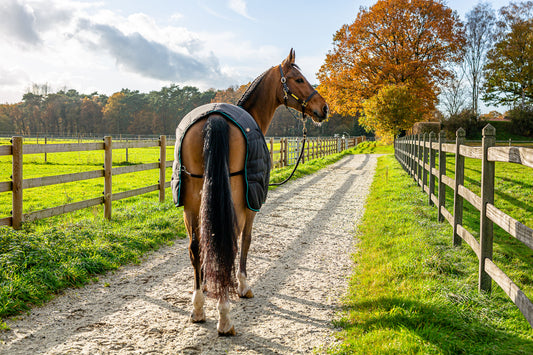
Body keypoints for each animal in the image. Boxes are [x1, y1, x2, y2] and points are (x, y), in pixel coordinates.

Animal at [172, 50, 326, 336]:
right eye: (299, 79)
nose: (324, 108)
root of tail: (214, 120)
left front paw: (209, 285)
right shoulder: (250, 206)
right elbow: (246, 241)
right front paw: (242, 285)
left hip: (190, 202)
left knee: (196, 247)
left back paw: (198, 309)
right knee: (228, 243)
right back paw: (224, 317)